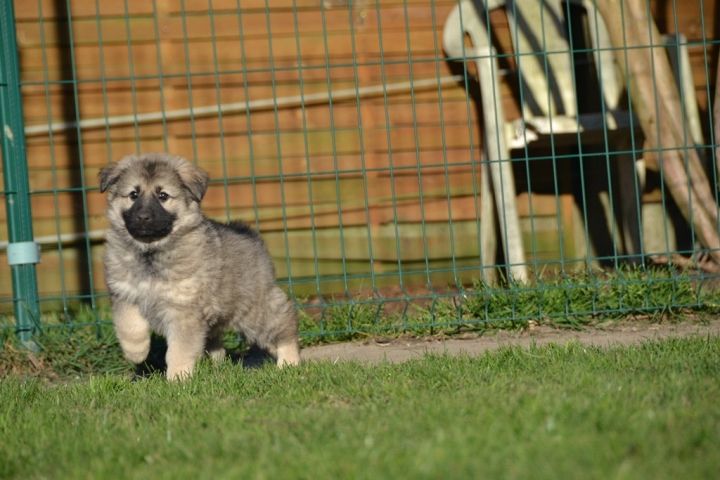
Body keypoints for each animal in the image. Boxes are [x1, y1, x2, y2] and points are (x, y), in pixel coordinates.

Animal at [99, 153, 300, 380]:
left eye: (163, 196)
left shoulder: (183, 310)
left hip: (255, 311)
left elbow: (179, 349)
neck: (151, 251)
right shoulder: (124, 295)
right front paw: (136, 353)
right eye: (133, 194)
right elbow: (130, 326)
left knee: (283, 325)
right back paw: (218, 366)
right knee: (215, 343)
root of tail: (250, 235)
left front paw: (178, 377)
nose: (143, 217)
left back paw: (289, 362)